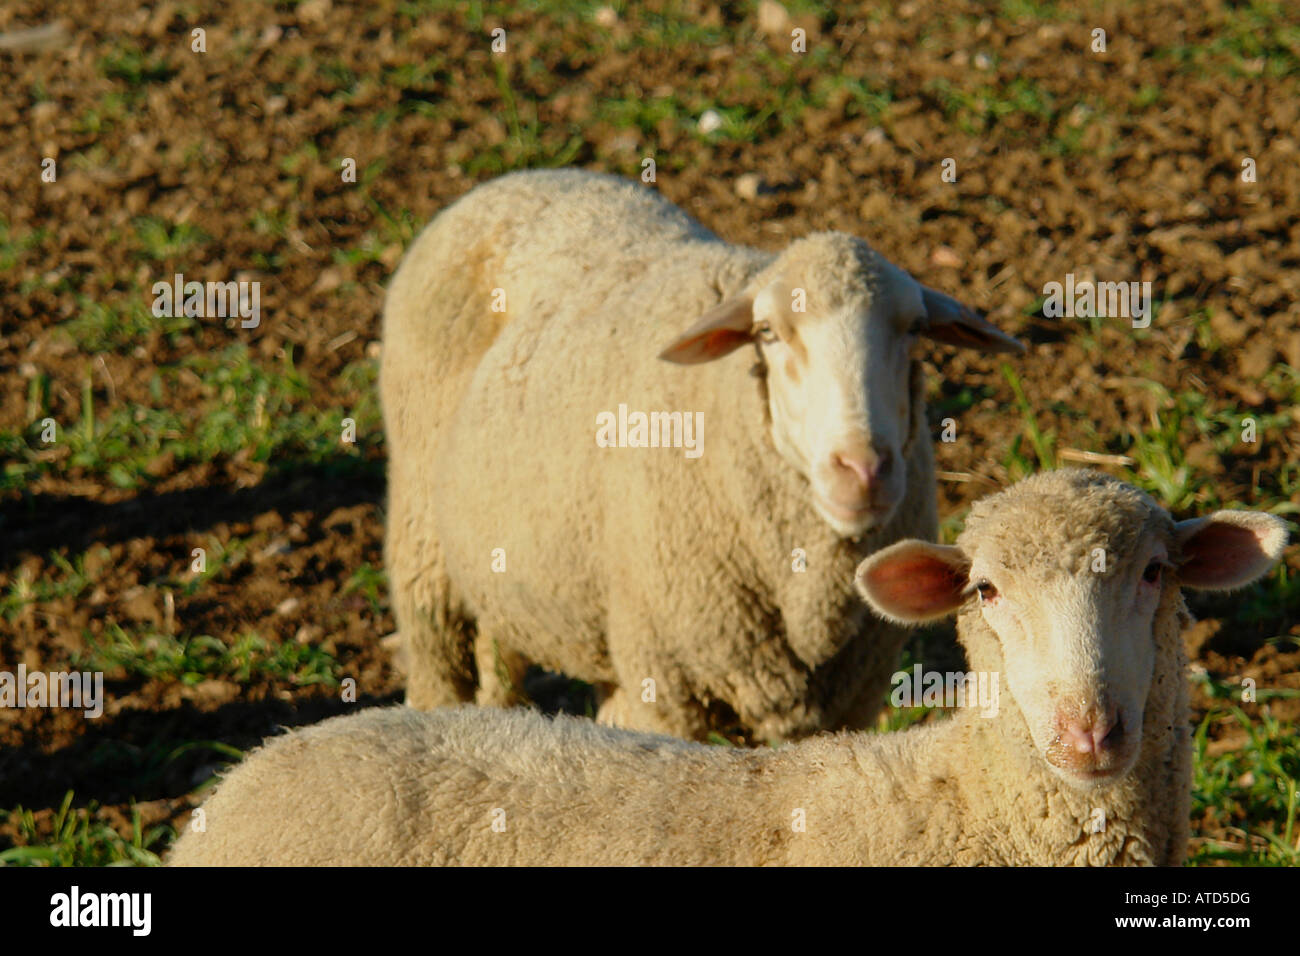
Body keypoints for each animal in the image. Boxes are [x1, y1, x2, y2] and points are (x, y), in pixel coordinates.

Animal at [380, 167, 1023, 741]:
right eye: (767, 333)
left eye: (914, 328)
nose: (863, 470)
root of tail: (520, 177)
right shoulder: (667, 692)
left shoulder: (849, 697)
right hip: (422, 546)